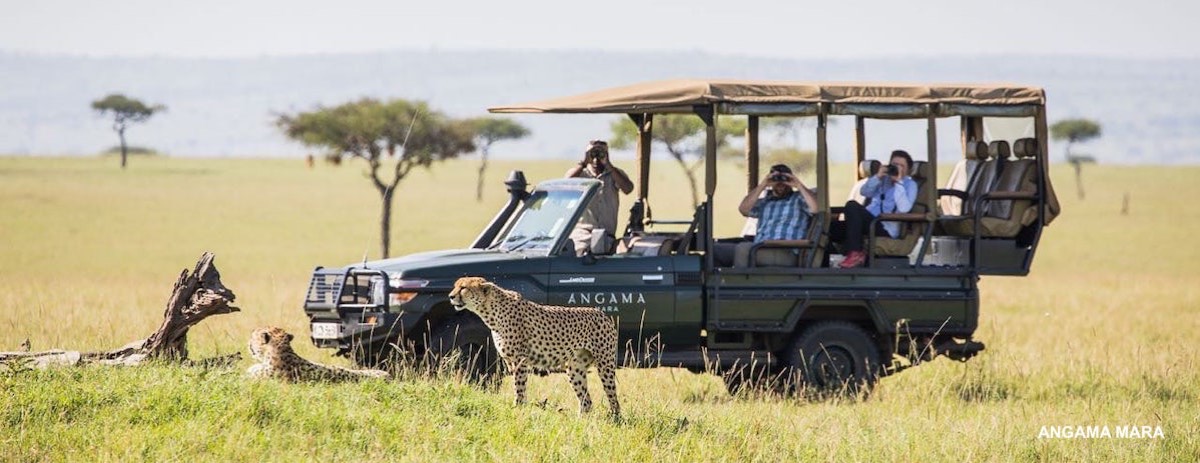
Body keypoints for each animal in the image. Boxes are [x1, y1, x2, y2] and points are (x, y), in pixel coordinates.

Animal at [448, 276, 619, 418]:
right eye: (455, 286)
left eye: (463, 287)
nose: (450, 296)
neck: (491, 311)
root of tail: (601, 313)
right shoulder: (510, 361)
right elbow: (518, 387)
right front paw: (520, 409)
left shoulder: (519, 360)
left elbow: (519, 387)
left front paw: (517, 408)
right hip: (575, 369)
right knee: (586, 401)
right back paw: (580, 422)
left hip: (605, 365)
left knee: (613, 398)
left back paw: (616, 420)